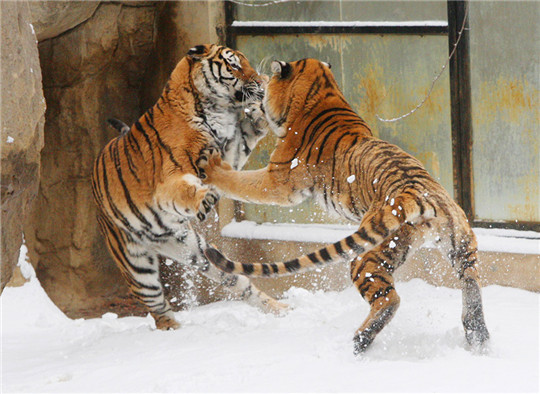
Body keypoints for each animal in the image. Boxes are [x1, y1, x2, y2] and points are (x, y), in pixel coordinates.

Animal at [92, 43, 292, 330]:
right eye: (234, 65)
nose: (260, 80)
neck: (216, 109)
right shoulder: (169, 180)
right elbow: (184, 190)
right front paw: (204, 199)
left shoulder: (229, 151)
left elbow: (248, 131)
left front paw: (259, 111)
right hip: (137, 266)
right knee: (158, 307)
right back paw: (173, 330)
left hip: (195, 250)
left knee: (239, 283)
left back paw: (281, 309)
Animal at [198, 57, 490, 354]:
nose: (255, 93)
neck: (322, 93)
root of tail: (419, 193)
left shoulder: (277, 180)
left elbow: (240, 182)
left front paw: (211, 167)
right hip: (462, 245)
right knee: (471, 287)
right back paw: (477, 335)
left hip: (366, 256)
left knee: (389, 300)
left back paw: (361, 340)